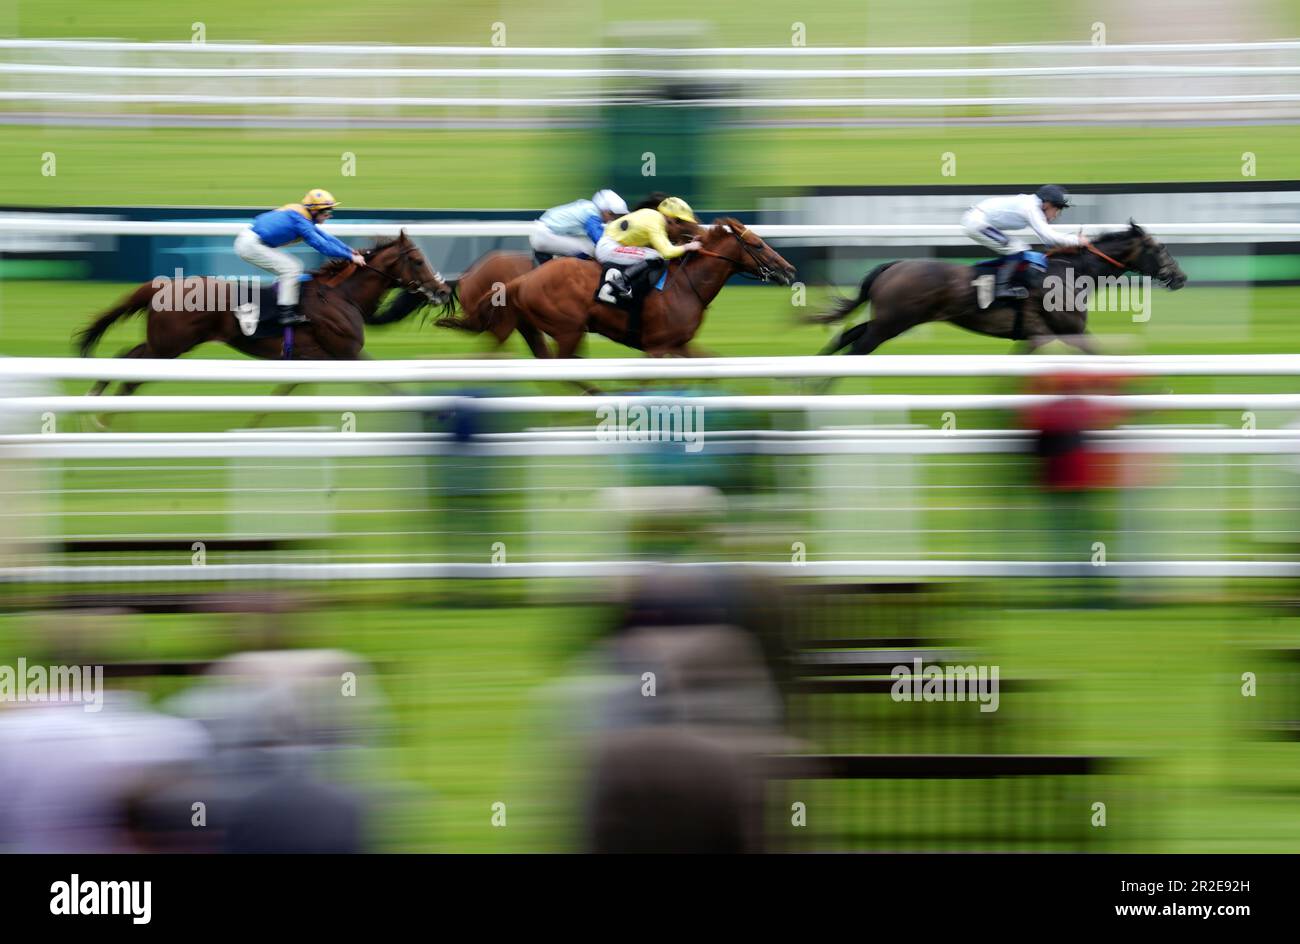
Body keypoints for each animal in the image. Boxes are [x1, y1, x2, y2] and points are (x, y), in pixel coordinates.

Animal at [77, 232, 452, 400]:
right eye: (417, 260)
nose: (443, 289)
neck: (340, 296)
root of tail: (161, 287)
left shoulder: (310, 360)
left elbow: (282, 393)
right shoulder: (347, 354)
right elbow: (390, 385)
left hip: (163, 344)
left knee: (125, 359)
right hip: (168, 346)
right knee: (131, 374)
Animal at [816, 223, 1185, 356]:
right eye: (1160, 248)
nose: (1180, 277)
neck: (1069, 274)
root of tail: (893, 265)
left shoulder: (1036, 336)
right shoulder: (1070, 332)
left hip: (889, 320)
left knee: (847, 336)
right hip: (892, 322)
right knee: (857, 347)